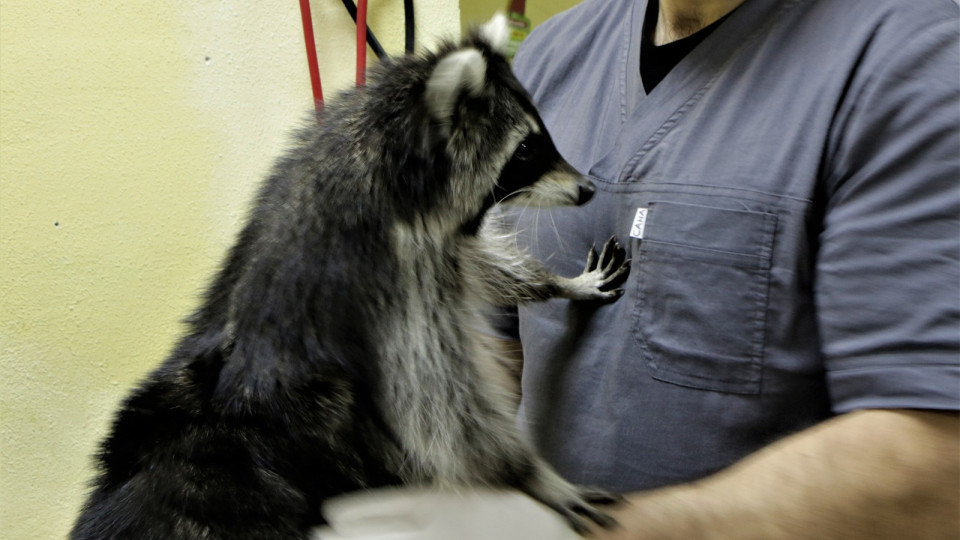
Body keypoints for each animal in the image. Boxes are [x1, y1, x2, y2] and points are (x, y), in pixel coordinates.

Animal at [73, 14, 632, 536]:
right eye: (525, 150)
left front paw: (556, 284)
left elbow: (486, 267)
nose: (587, 188)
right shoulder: (393, 287)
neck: (375, 150)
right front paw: (531, 476)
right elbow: (443, 416)